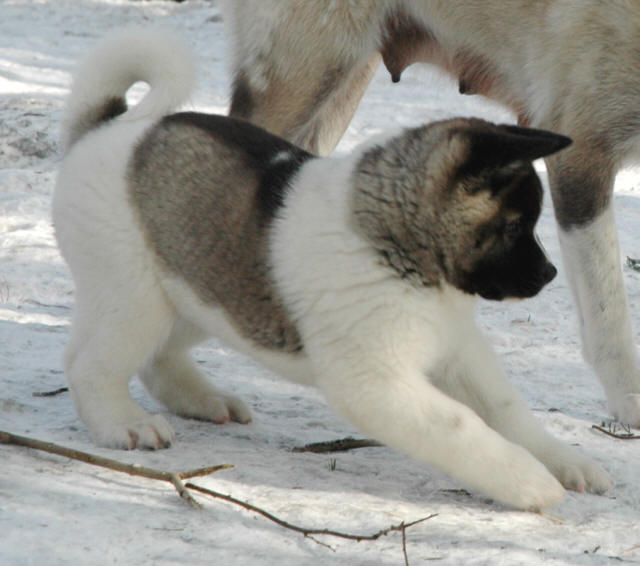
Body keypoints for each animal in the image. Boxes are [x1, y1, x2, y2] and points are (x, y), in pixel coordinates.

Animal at [55, 28, 608, 512]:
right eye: (515, 227)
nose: (549, 275)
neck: (401, 247)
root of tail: (109, 128)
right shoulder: (376, 382)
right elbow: (458, 424)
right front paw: (530, 482)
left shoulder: (457, 350)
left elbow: (505, 409)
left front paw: (564, 462)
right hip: (136, 296)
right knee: (91, 365)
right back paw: (124, 424)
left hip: (203, 287)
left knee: (160, 356)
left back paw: (205, 400)